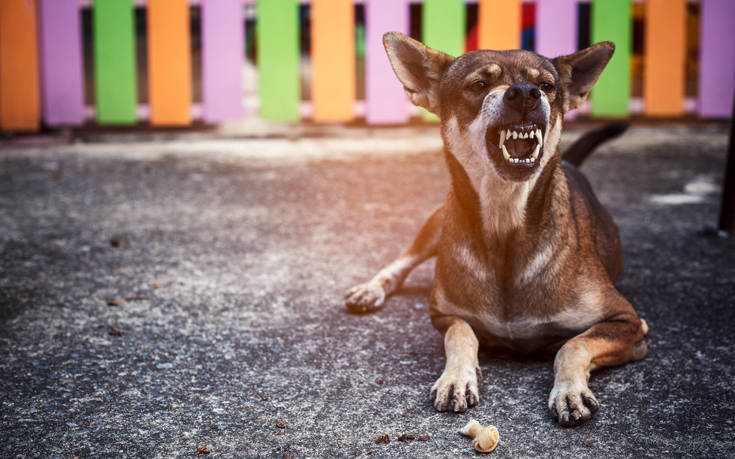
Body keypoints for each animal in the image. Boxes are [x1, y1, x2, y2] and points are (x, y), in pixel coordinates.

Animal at [346, 31, 648, 428]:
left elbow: (573, 344)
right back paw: (372, 288)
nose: (525, 93)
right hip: (438, 220)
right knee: (404, 259)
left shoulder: (629, 322)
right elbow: (461, 334)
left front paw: (569, 390)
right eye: (479, 85)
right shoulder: (444, 315)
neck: (506, 222)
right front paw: (457, 378)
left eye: (547, 86)